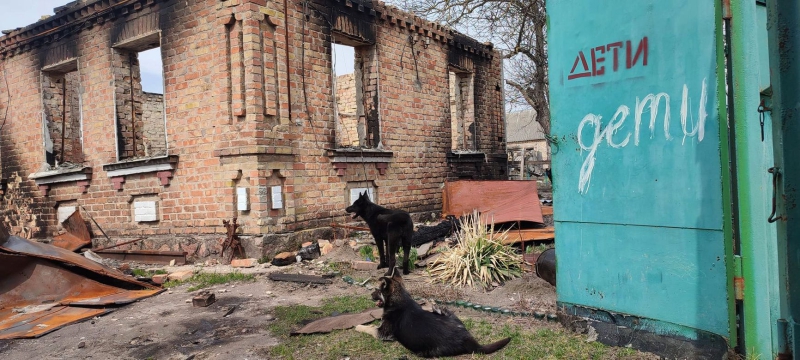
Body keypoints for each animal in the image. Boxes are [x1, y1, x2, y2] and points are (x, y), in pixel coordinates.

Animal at [356, 268, 512, 358]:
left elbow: (369, 328)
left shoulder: (382, 333)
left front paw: (358, 326)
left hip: (426, 352)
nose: (370, 294)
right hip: (450, 315)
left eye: (378, 290)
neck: (400, 299)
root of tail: (466, 338)